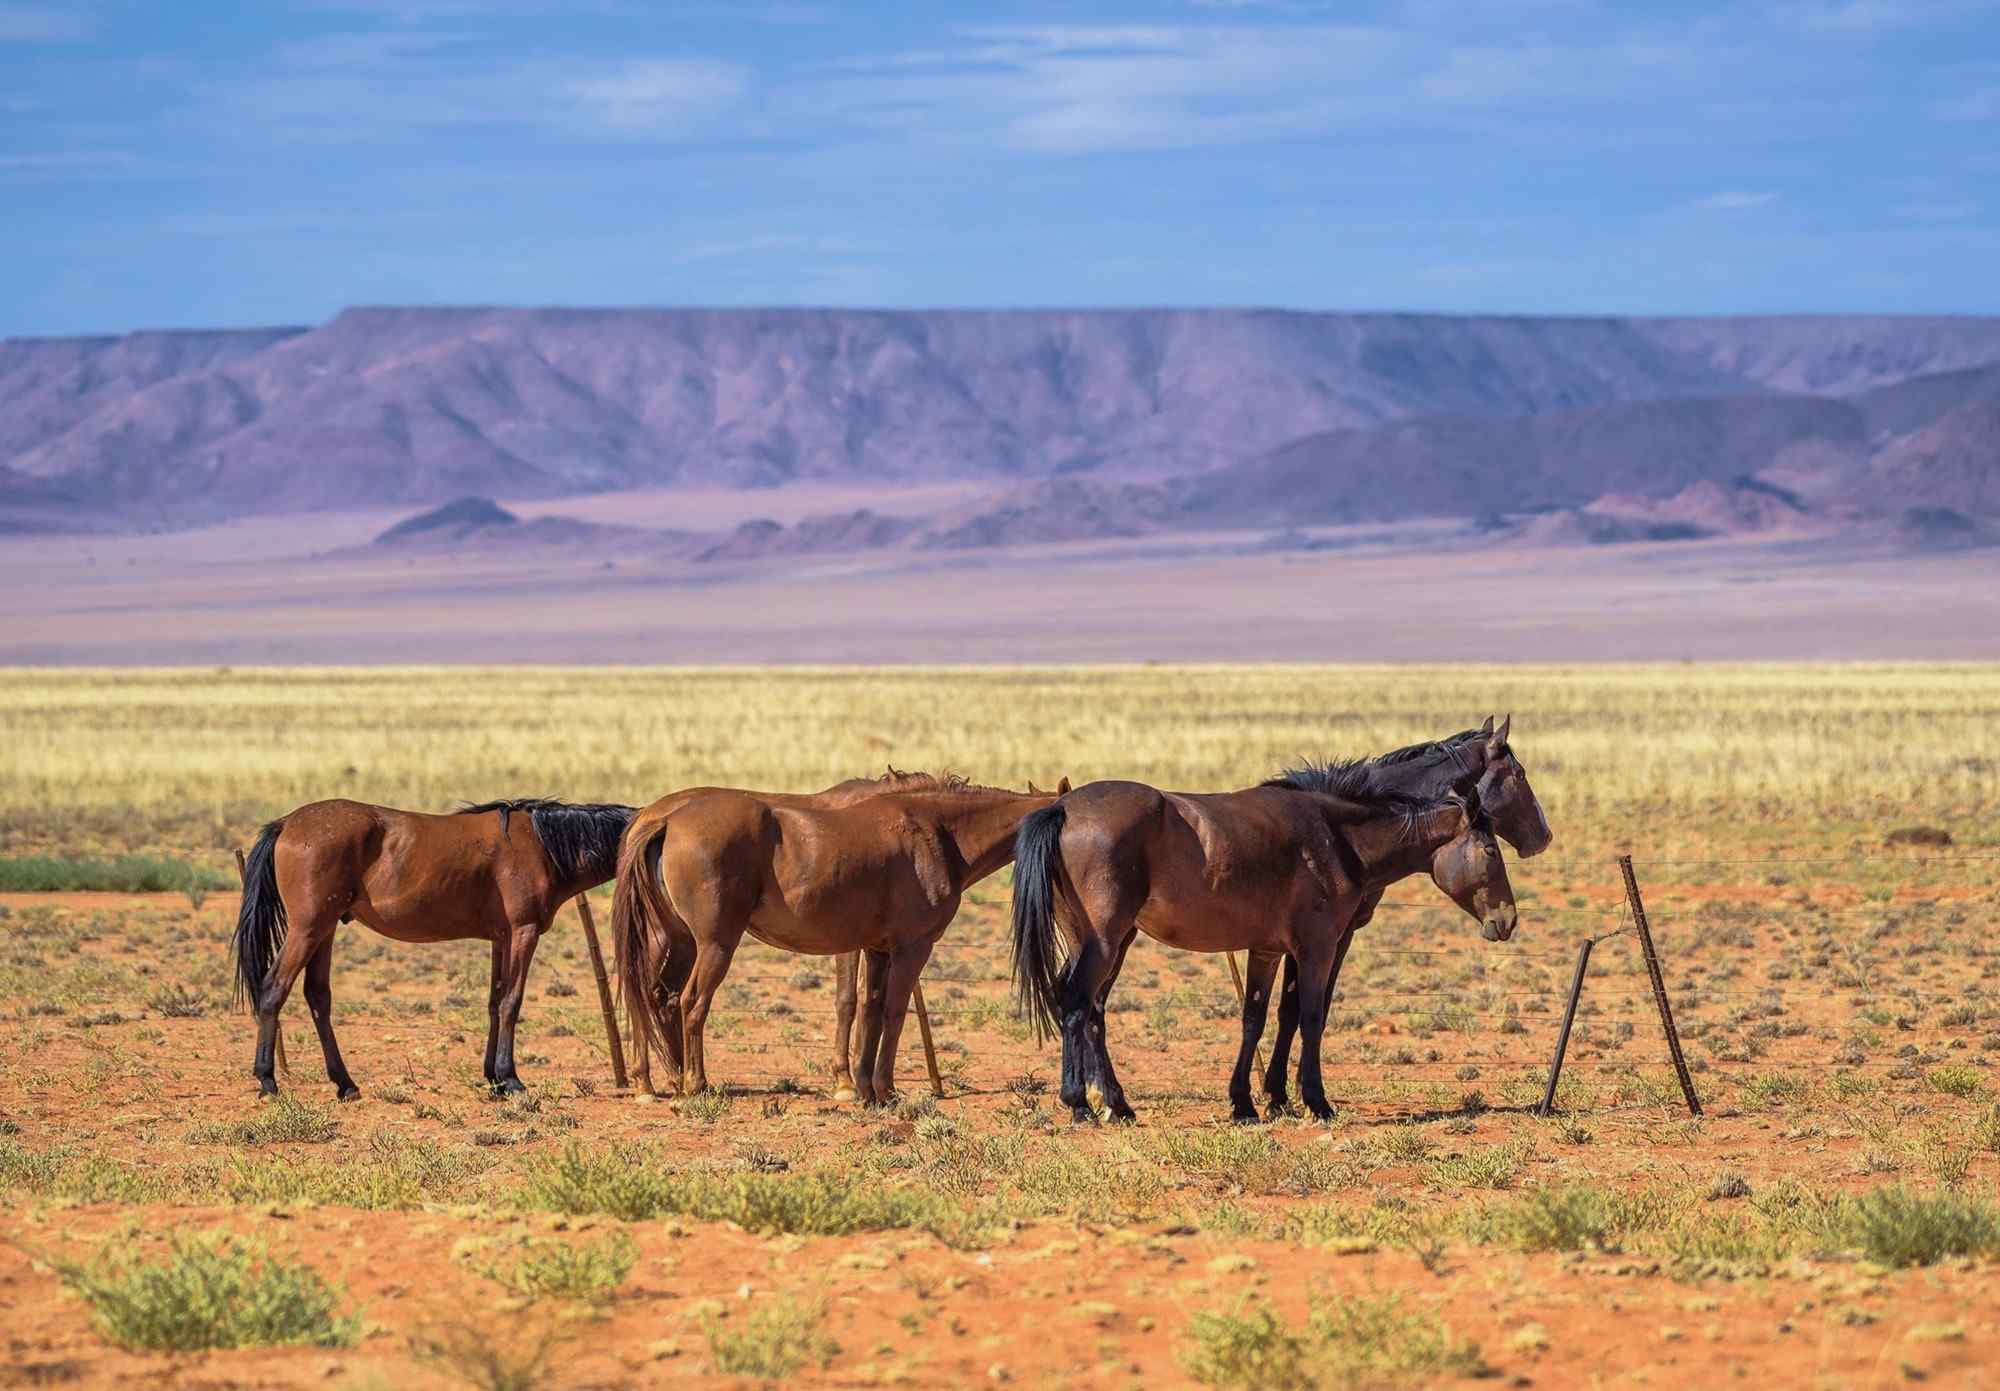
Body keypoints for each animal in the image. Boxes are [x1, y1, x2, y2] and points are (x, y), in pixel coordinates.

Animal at [232, 797, 633, 1099]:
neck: (542, 846)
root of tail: (287, 823)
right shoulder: (524, 933)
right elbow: (511, 1003)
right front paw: (511, 1079)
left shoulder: (501, 939)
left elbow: (494, 1003)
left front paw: (493, 1079)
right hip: (307, 929)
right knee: (273, 989)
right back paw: (268, 1081)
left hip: (325, 929)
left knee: (318, 998)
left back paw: (345, 1084)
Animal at [614, 772, 1066, 1104]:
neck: (935, 832)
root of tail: (666, 820)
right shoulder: (910, 949)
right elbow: (889, 1012)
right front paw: (883, 1089)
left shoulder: (877, 949)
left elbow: (869, 1009)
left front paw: (864, 1088)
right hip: (714, 944)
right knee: (691, 1002)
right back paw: (695, 1084)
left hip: (672, 938)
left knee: (651, 996)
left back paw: (659, 1080)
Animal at [1010, 775, 1517, 1123]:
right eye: (1491, 851)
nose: (1507, 920)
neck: (1338, 839)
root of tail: (1064, 808)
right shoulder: (1317, 950)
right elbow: (1311, 1018)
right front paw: (1315, 1101)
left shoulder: (1269, 951)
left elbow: (1257, 1019)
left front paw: (1246, 1104)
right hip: (1104, 940)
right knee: (1077, 1003)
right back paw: (1080, 1104)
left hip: (1103, 941)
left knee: (1090, 1009)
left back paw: (1118, 1104)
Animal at [1254, 715, 1551, 1114]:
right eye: (1519, 774)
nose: (1544, 836)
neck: (1347, 835)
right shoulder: (1328, 937)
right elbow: (1300, 1008)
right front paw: (1285, 1093)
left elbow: (1299, 1008)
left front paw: (1285, 1091)